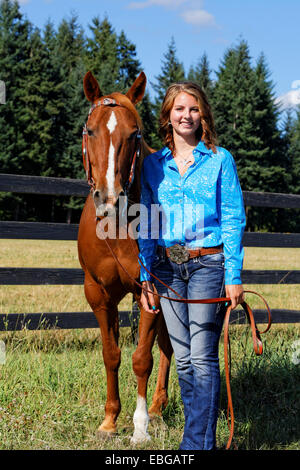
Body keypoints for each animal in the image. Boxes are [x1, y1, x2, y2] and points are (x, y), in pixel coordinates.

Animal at [77, 70, 173, 444]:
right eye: (90, 130)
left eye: (135, 135)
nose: (109, 198)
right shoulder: (99, 294)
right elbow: (111, 355)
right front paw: (109, 421)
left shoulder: (152, 292)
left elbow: (141, 358)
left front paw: (140, 426)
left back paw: (157, 410)